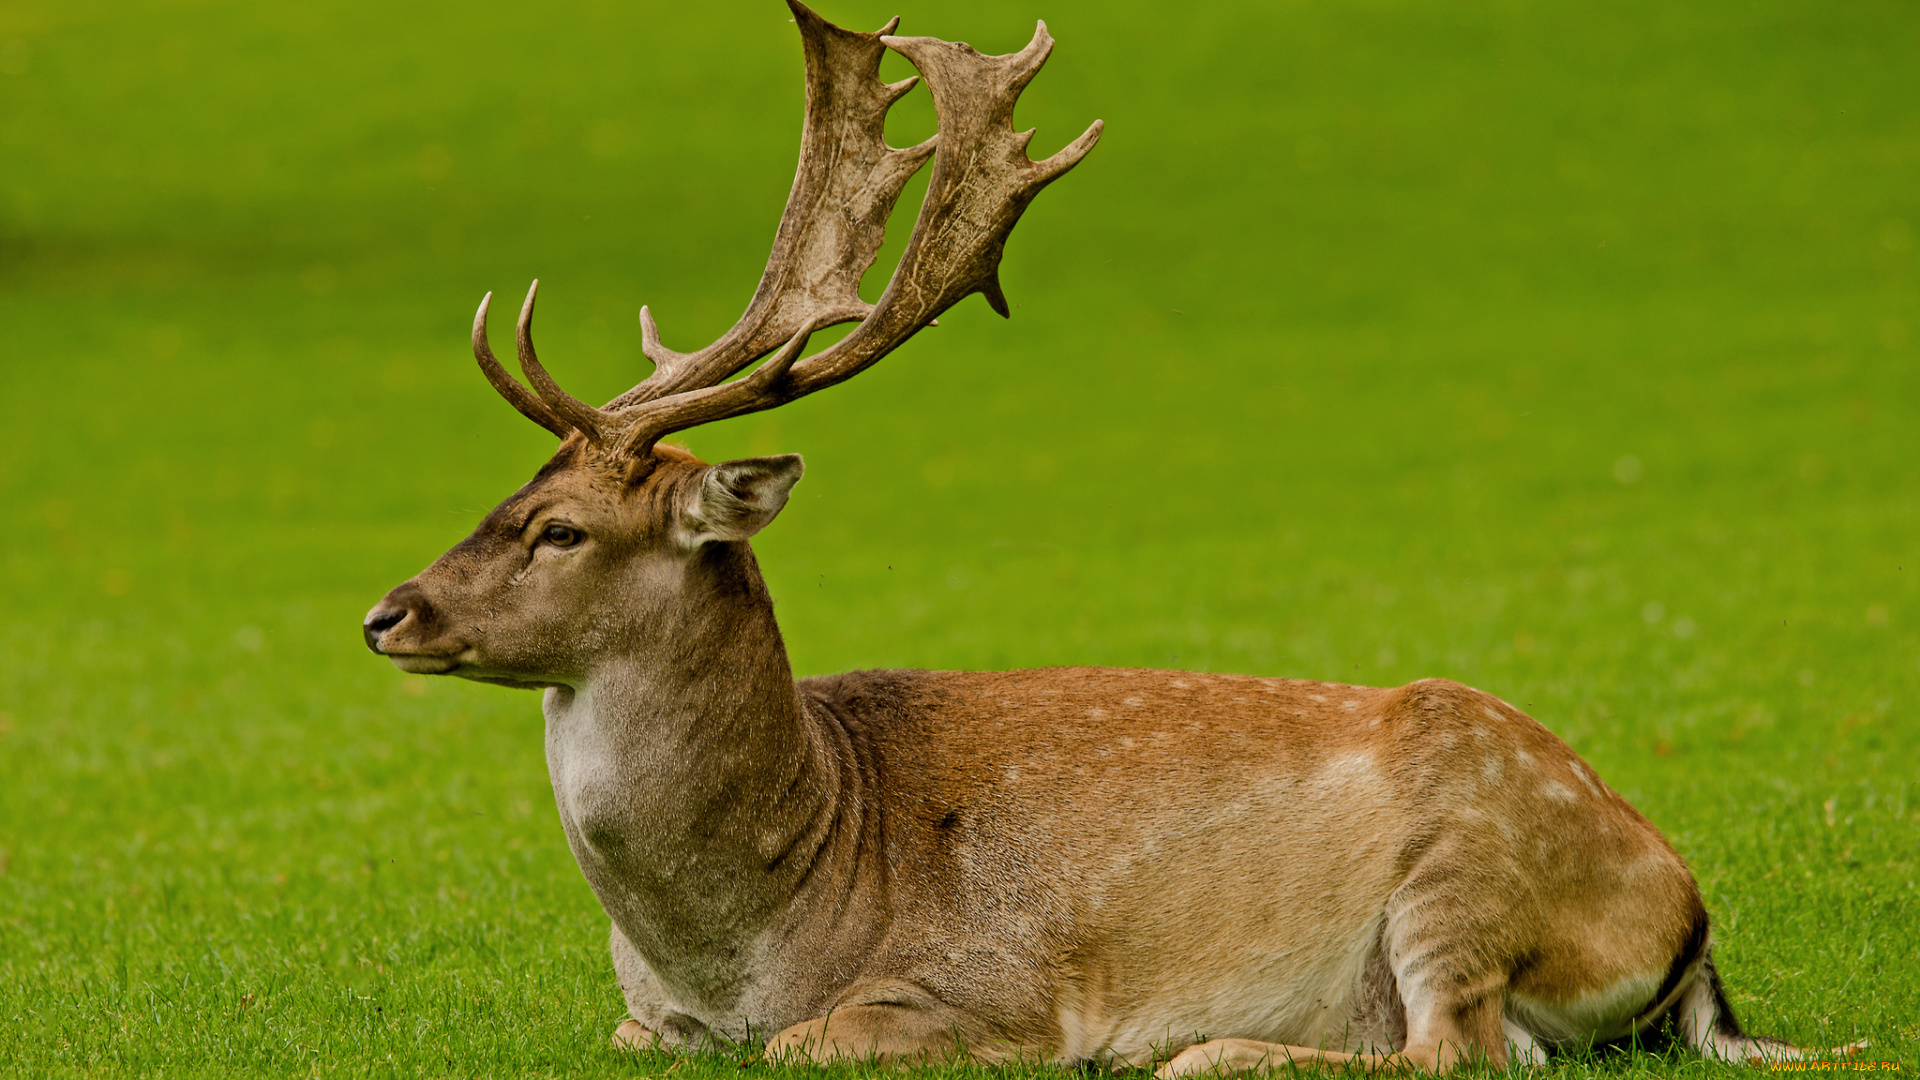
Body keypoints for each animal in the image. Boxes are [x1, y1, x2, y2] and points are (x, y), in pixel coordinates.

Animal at [362, 2, 1858, 1068]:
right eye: (503, 500)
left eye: (560, 530)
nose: (388, 613)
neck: (755, 926)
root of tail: (1689, 918)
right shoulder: (642, 1017)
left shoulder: (983, 984)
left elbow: (809, 1045)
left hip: (1466, 868)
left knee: (1458, 1051)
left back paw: (1207, 1050)